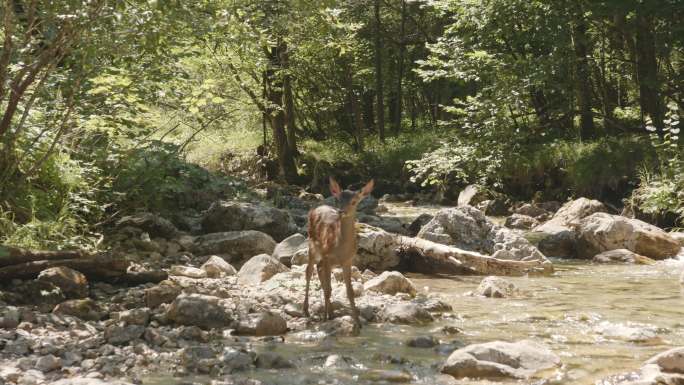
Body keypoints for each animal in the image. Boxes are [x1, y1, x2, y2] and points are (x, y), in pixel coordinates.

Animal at [304, 176, 374, 326]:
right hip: (312, 243)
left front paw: (358, 323)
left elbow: (350, 291)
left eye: (354, 201)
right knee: (309, 271)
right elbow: (328, 290)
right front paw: (324, 319)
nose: (341, 211)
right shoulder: (327, 256)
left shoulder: (348, 260)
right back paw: (306, 310)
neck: (340, 247)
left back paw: (331, 312)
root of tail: (316, 208)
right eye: (338, 200)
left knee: (318, 269)